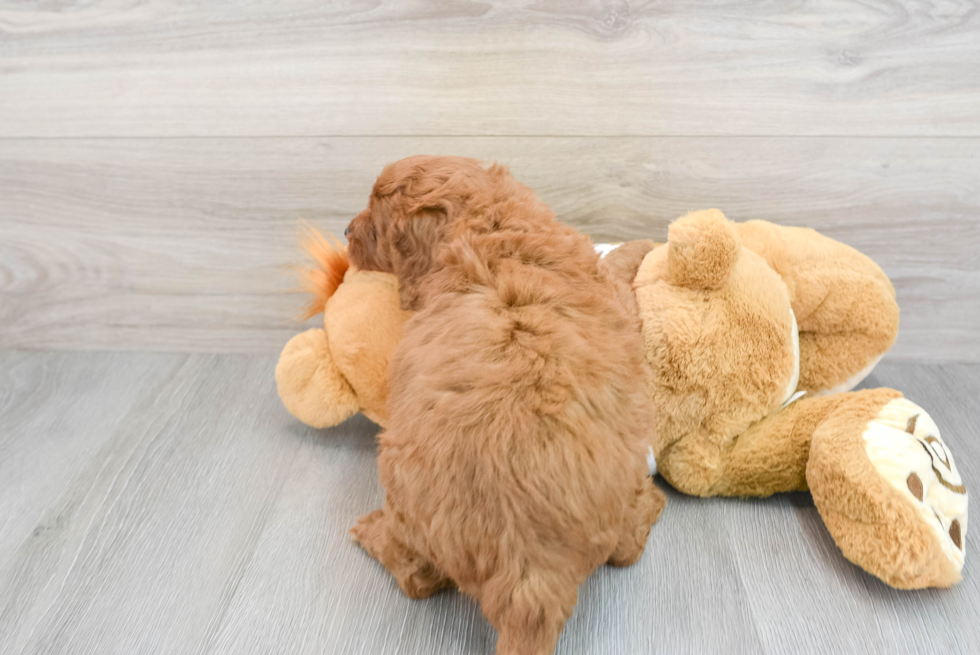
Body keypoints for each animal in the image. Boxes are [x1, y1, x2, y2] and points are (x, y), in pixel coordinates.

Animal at [346, 155, 668, 655]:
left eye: (374, 214)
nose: (345, 232)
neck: (492, 224)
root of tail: (529, 580)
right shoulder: (613, 294)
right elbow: (615, 266)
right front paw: (642, 244)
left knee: (418, 577)